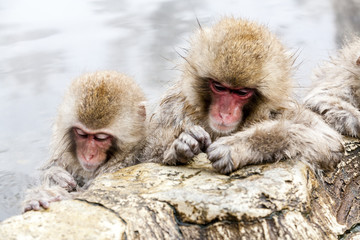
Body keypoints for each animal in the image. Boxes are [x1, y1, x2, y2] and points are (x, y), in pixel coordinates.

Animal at [140, 17, 344, 174]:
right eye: (219, 87)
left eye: (242, 92)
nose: (224, 113)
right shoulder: (175, 105)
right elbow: (146, 157)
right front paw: (182, 144)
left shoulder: (280, 109)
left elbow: (326, 141)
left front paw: (235, 147)